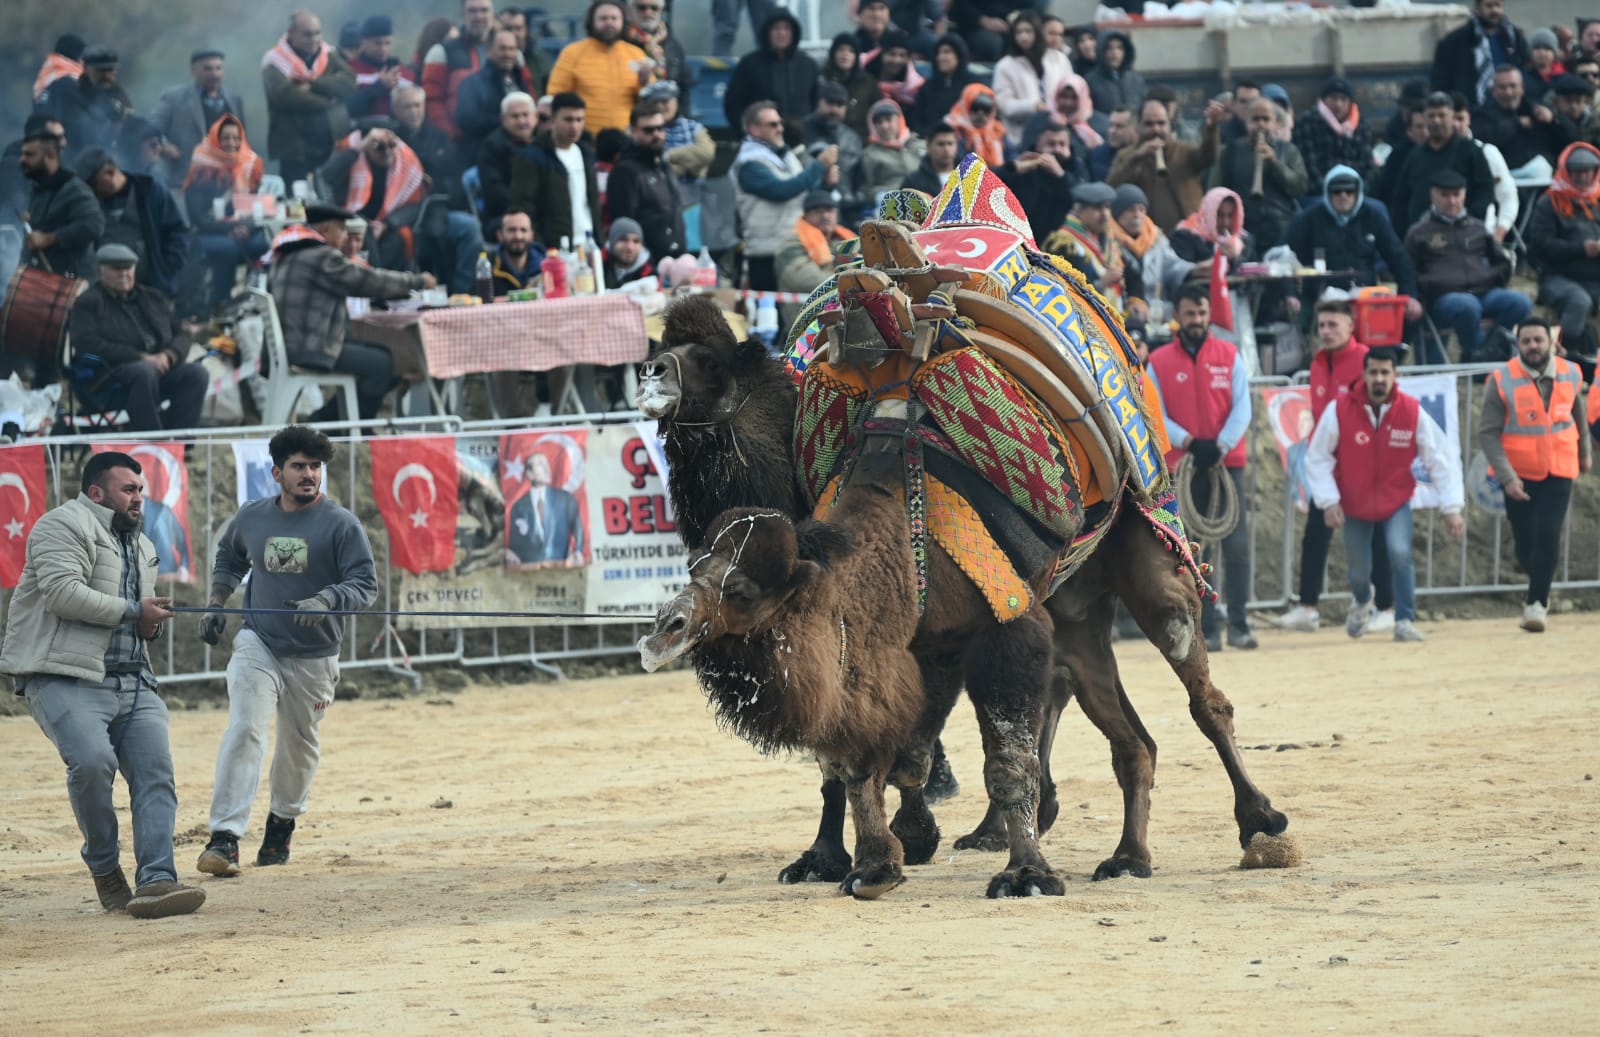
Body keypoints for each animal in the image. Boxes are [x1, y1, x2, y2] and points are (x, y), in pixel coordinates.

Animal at [636, 489, 934, 896]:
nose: (666, 628)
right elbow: (842, 765)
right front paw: (826, 863)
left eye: (742, 591)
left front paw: (876, 869)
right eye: (692, 567)